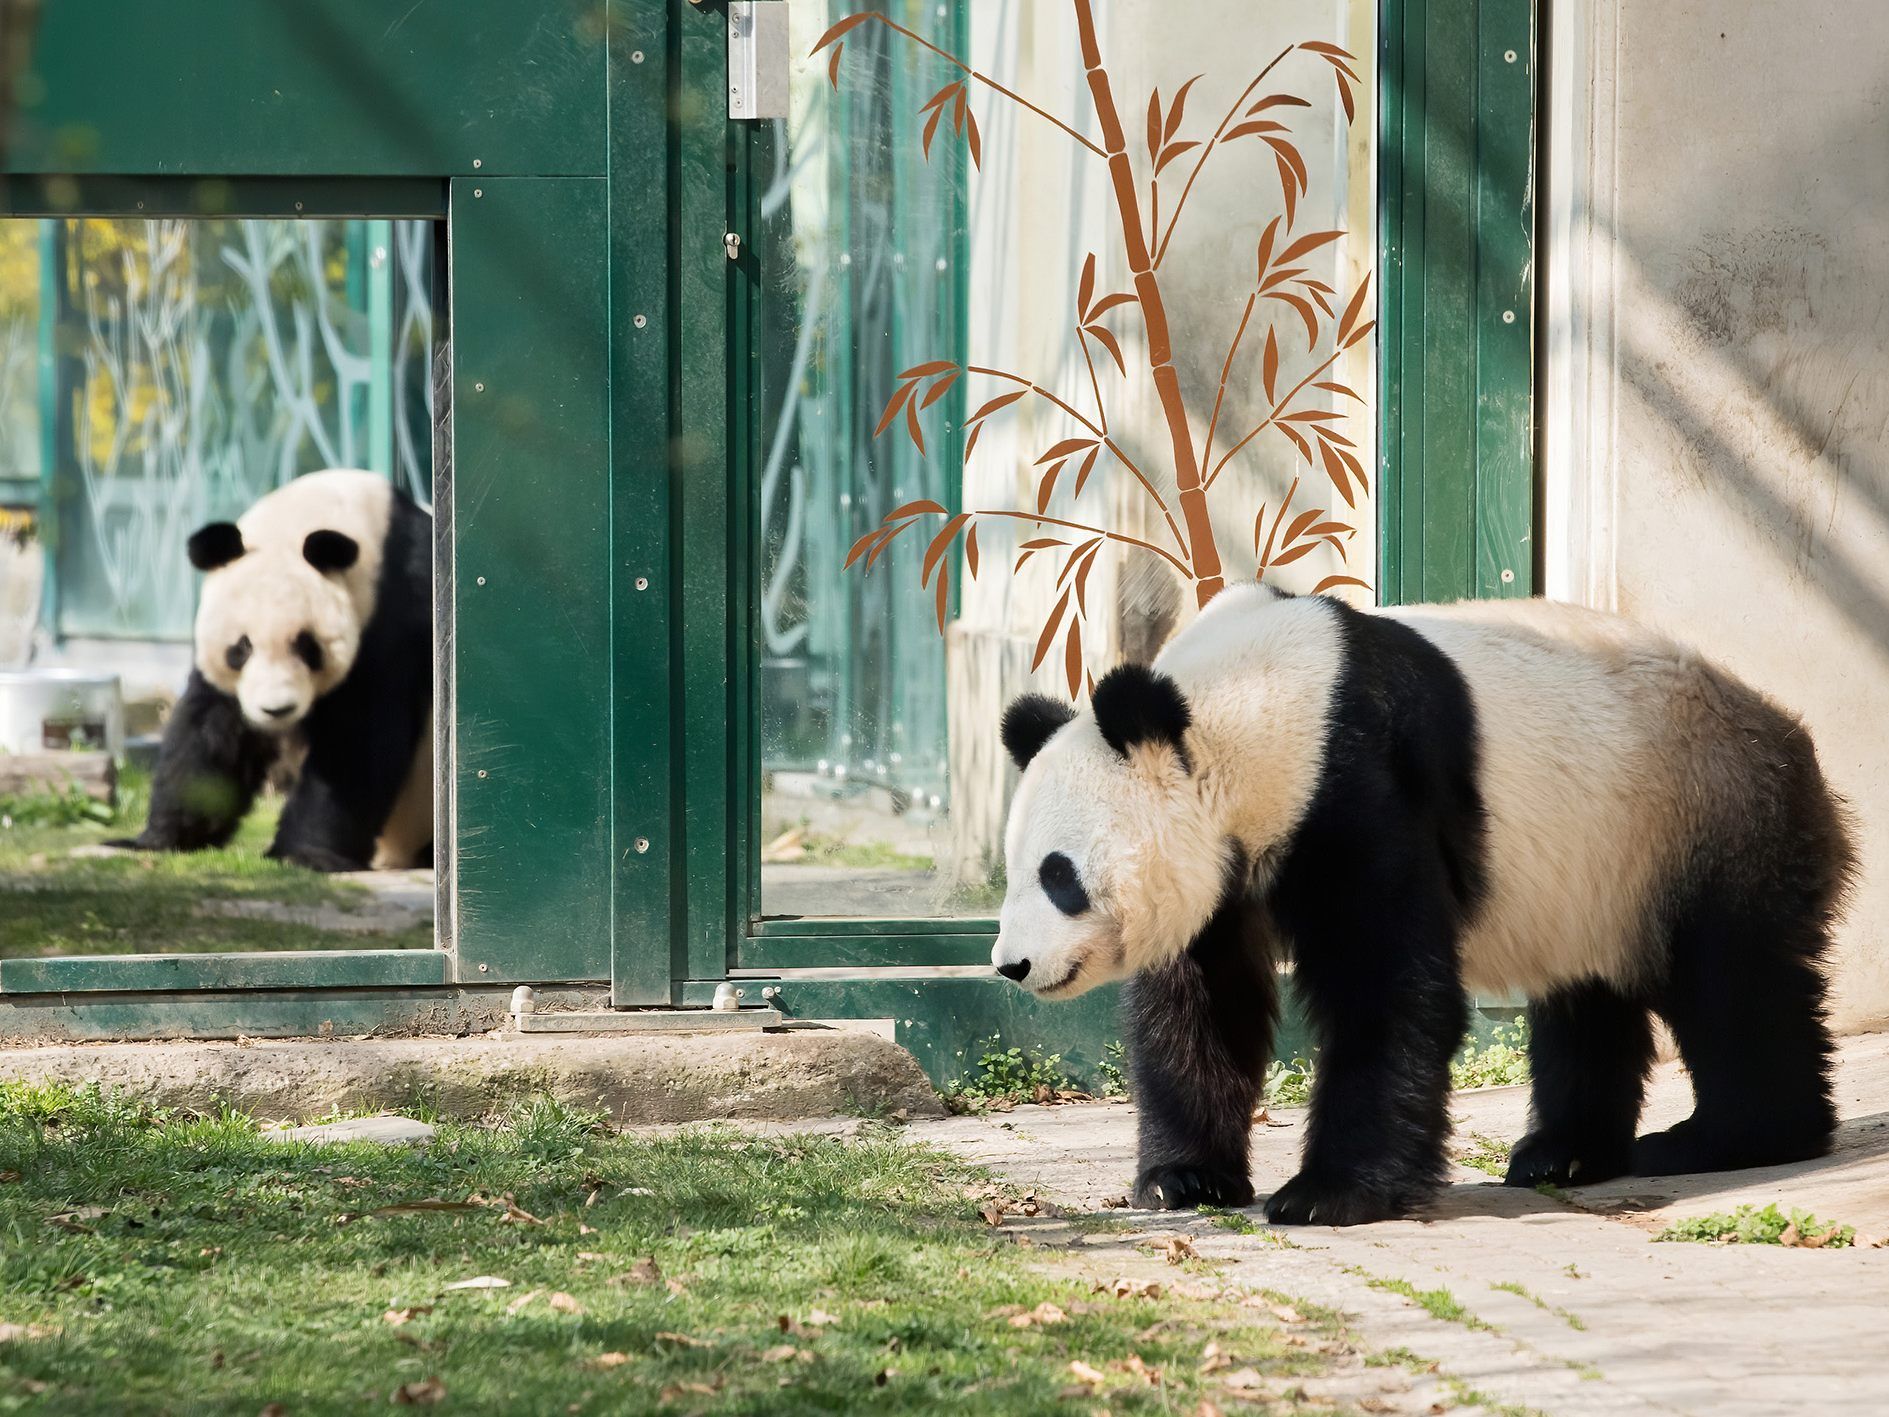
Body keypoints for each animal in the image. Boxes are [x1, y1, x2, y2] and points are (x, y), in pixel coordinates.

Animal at [112, 474, 432, 876]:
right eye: (241, 648)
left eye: (307, 646)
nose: (276, 710)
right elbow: (210, 731)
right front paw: (161, 838)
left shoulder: (391, 622)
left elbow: (359, 740)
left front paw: (304, 853)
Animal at [997, 589, 1851, 1231]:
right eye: (1012, 871)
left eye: (1058, 874)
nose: (1011, 964)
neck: (1246, 705)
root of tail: (1786, 730)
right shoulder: (1221, 871)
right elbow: (1202, 1002)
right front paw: (1183, 1178)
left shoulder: (1356, 779)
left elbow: (1387, 981)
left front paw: (1328, 1194)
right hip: (1598, 867)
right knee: (1587, 995)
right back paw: (1562, 1151)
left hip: (1701, 813)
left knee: (1731, 980)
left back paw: (1727, 1136)